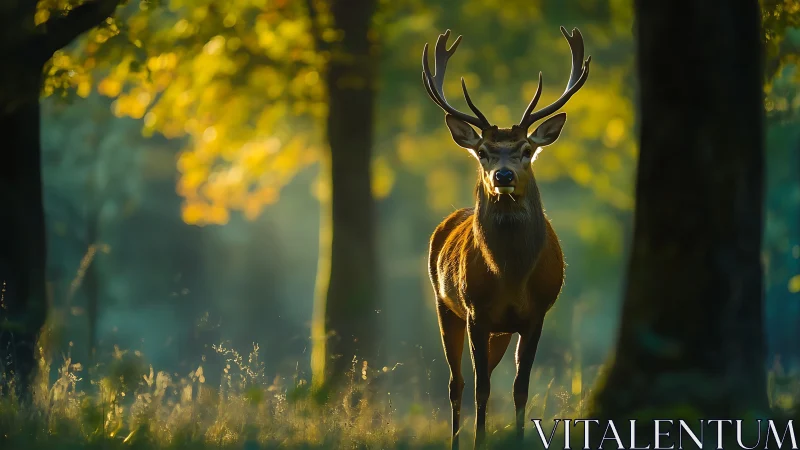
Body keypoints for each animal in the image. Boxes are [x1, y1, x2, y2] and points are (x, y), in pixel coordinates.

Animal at [422, 27, 590, 448]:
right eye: (483, 151)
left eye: (526, 149)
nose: (503, 176)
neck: (512, 276)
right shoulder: (476, 312)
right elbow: (481, 388)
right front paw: (479, 439)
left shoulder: (537, 313)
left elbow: (520, 387)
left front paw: (516, 436)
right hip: (445, 306)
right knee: (457, 383)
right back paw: (456, 438)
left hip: (497, 330)